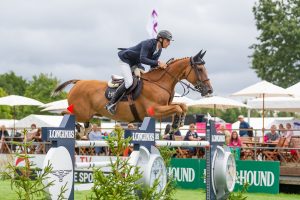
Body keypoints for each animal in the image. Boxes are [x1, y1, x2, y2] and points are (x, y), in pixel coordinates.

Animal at [54, 50, 213, 128]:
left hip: (87, 115)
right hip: (81, 112)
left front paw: (178, 123)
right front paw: (176, 124)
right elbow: (178, 108)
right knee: (65, 113)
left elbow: (182, 106)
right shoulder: (155, 110)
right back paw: (78, 128)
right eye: (200, 69)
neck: (159, 83)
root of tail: (78, 82)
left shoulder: (166, 105)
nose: (210, 91)